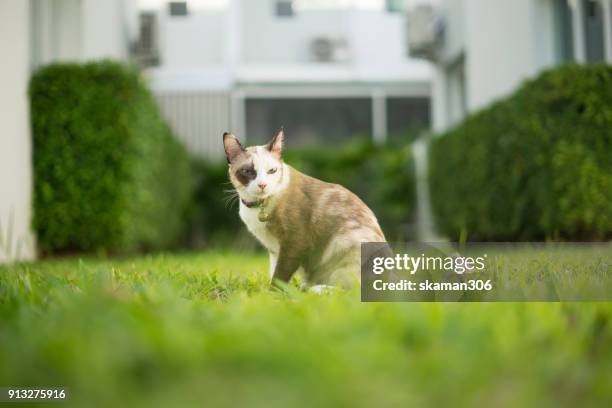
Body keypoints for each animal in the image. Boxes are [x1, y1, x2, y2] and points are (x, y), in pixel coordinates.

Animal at [224, 129, 388, 288]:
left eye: (272, 171)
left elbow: (279, 277)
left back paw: (313, 290)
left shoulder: (294, 243)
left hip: (344, 244)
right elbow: (273, 274)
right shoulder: (274, 250)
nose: (263, 185)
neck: (259, 205)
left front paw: (273, 294)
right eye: (248, 171)